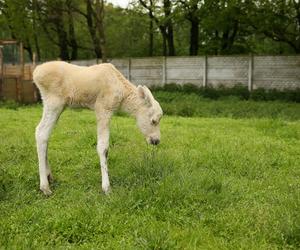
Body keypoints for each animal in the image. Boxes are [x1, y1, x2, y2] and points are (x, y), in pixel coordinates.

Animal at [33, 60, 163, 195]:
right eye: (153, 121)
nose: (156, 140)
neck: (122, 97)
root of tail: (36, 73)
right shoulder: (103, 108)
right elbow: (103, 147)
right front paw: (106, 187)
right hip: (53, 102)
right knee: (41, 133)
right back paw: (45, 187)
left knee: (44, 134)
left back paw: (48, 176)